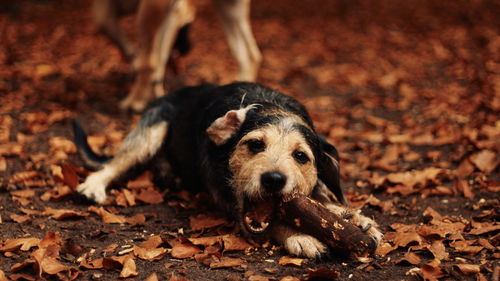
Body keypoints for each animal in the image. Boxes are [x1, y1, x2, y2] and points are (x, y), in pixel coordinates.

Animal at [72, 82, 380, 258]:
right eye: (255, 144)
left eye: (300, 156)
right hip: (152, 130)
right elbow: (276, 223)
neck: (271, 107)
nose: (273, 179)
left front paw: (352, 217)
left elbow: (321, 201)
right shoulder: (227, 201)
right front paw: (301, 237)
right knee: (115, 163)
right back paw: (94, 185)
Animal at [93, 0, 262, 111]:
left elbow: (151, 60)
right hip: (229, 8)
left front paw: (137, 100)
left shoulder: (159, 6)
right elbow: (103, 22)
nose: (188, 48)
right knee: (250, 56)